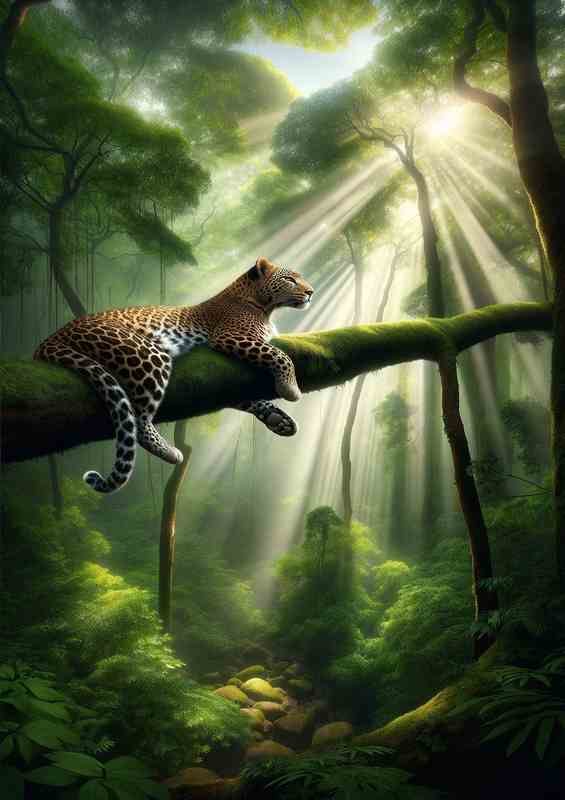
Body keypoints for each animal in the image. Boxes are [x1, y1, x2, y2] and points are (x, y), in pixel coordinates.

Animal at [34, 257, 314, 494]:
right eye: (290, 280)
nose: (311, 293)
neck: (263, 305)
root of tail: (54, 335)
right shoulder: (232, 337)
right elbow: (280, 354)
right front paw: (290, 388)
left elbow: (246, 399)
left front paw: (278, 419)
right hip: (148, 354)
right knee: (139, 420)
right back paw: (169, 452)